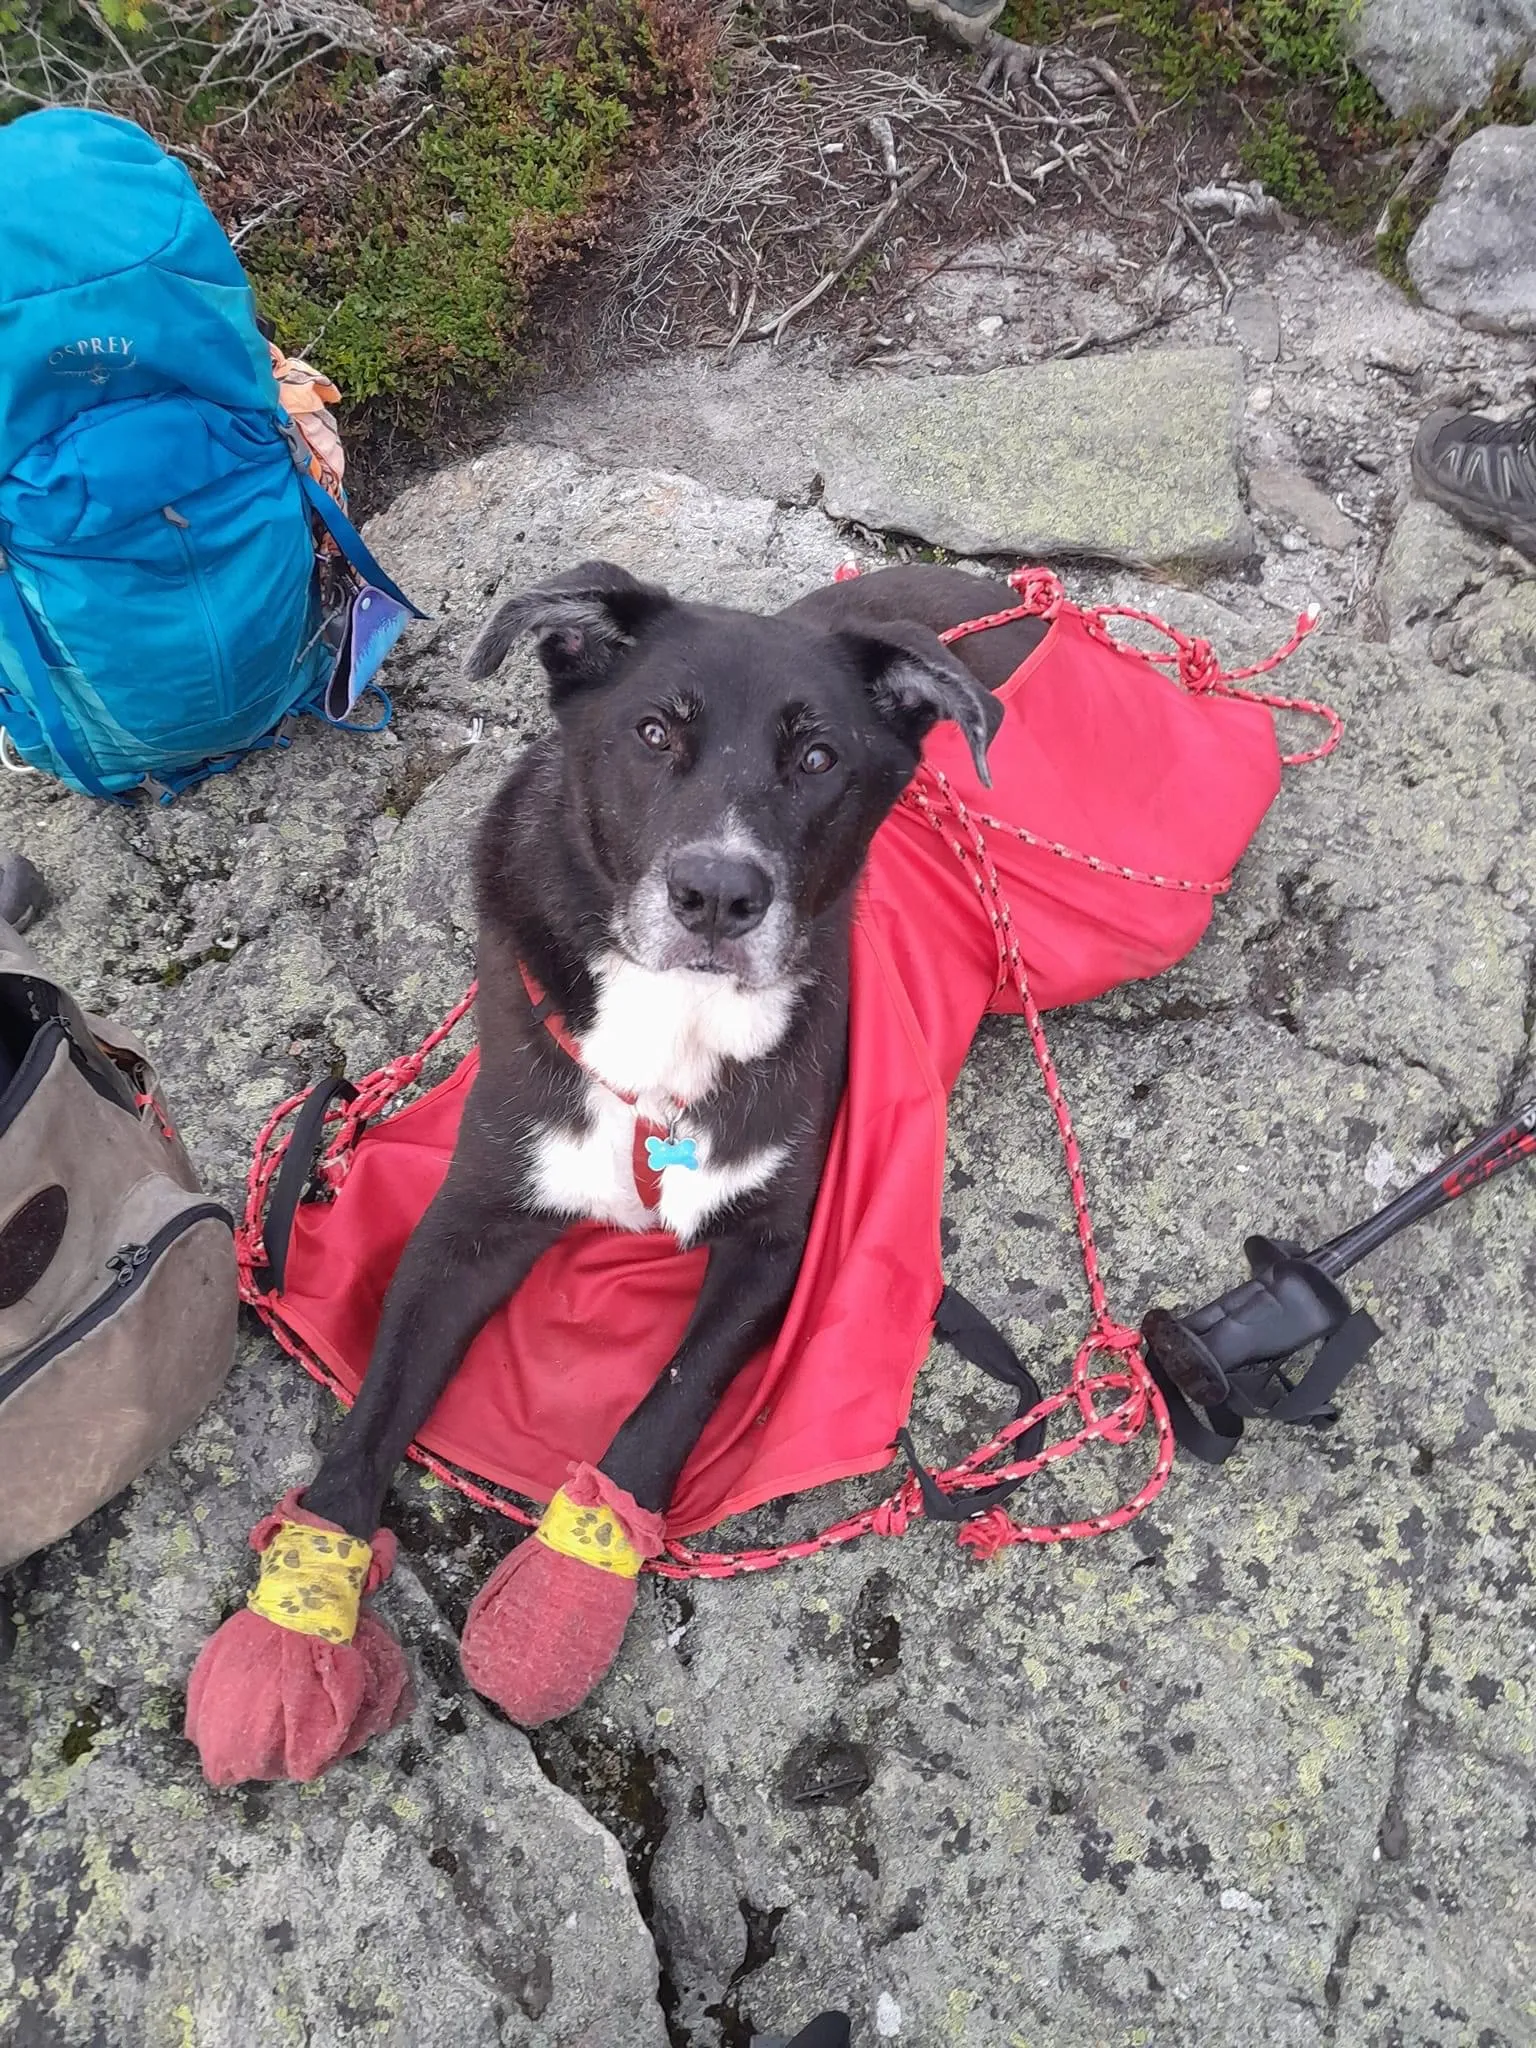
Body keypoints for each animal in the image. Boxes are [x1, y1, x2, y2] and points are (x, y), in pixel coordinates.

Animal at [296, 557, 1048, 1695]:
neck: (671, 1020)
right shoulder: (473, 1215)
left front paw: (569, 1584)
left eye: (818, 756)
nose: (718, 894)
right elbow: (372, 1413)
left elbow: (666, 1405)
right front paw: (296, 1615)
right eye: (653, 732)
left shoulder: (771, 1243)